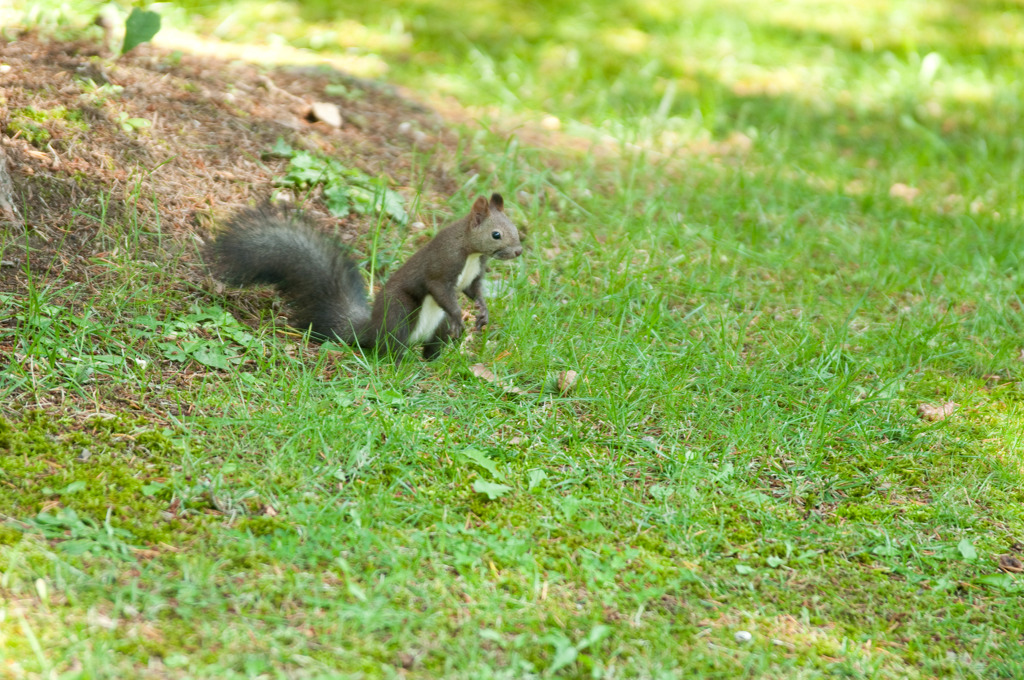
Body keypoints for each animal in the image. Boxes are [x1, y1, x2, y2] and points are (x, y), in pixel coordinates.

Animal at [209, 192, 528, 360]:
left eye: (514, 227)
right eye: (496, 234)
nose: (518, 251)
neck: (471, 252)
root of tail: (373, 329)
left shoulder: (474, 275)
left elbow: (475, 291)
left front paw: (482, 312)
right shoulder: (442, 267)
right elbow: (442, 292)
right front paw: (460, 316)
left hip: (432, 332)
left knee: (430, 347)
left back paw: (430, 363)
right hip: (401, 312)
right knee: (391, 348)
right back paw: (400, 363)